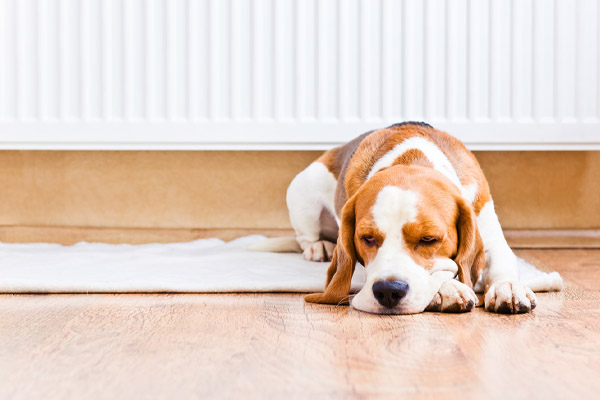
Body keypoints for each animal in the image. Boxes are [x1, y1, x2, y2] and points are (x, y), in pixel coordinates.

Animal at [272, 120, 540, 314]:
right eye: (367, 238)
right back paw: (319, 247)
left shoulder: (488, 231)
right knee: (306, 237)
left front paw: (508, 287)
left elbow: (502, 261)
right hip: (303, 190)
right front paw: (448, 288)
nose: (388, 291)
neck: (412, 158)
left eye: (429, 239)